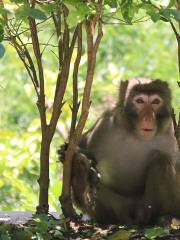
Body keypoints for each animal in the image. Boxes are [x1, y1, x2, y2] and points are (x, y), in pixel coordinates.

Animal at [59, 78, 179, 225]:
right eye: (140, 101)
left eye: (156, 102)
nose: (148, 118)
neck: (137, 136)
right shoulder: (105, 124)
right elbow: (82, 143)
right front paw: (70, 152)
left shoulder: (173, 134)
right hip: (119, 208)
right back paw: (80, 176)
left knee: (160, 160)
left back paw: (161, 217)